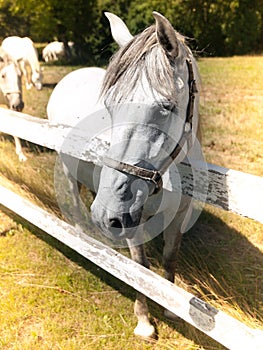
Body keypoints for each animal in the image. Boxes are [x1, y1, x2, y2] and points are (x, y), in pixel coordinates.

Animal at [48, 13, 204, 340]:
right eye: (110, 106)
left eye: (166, 107)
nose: (108, 214)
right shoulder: (131, 219)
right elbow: (140, 266)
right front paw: (144, 320)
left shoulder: (178, 215)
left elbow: (170, 257)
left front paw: (171, 306)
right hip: (68, 170)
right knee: (76, 205)